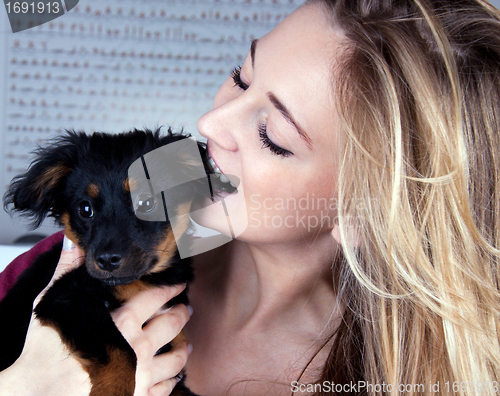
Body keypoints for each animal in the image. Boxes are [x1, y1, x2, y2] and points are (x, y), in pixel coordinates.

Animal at [0, 129, 227, 396]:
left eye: (147, 203)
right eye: (85, 209)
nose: (107, 260)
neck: (141, 283)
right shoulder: (65, 295)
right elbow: (123, 351)